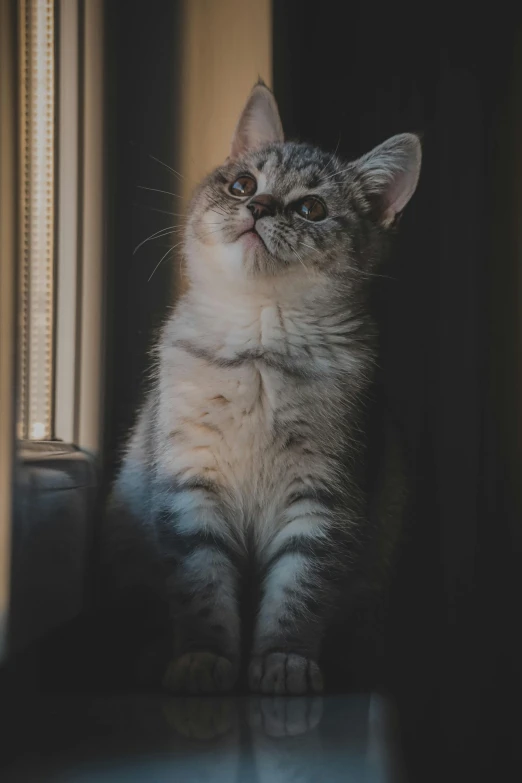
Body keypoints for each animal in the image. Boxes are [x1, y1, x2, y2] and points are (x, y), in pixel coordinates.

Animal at [103, 79, 420, 696]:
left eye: (311, 208)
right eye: (243, 185)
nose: (256, 207)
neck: (258, 347)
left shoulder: (324, 498)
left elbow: (300, 591)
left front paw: (284, 660)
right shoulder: (189, 484)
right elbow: (201, 585)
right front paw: (204, 658)